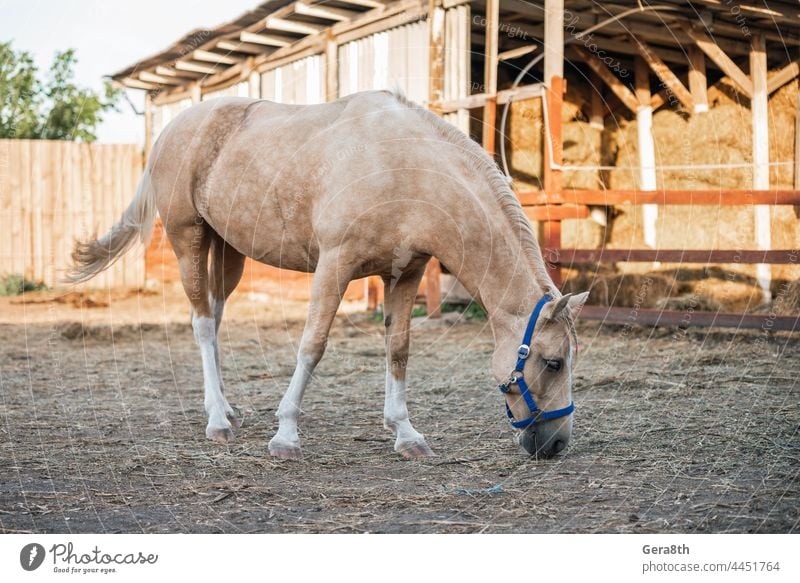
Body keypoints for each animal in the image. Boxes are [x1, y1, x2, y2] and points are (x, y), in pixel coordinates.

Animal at [67, 90, 588, 460]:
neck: (408, 171)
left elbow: (398, 349)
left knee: (213, 320)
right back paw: (217, 420)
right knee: (200, 323)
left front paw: (405, 432)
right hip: (187, 238)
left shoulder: (406, 274)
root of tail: (172, 129)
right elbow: (313, 345)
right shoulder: (334, 265)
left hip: (227, 251)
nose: (557, 443)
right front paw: (285, 435)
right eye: (553, 362)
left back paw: (227, 408)